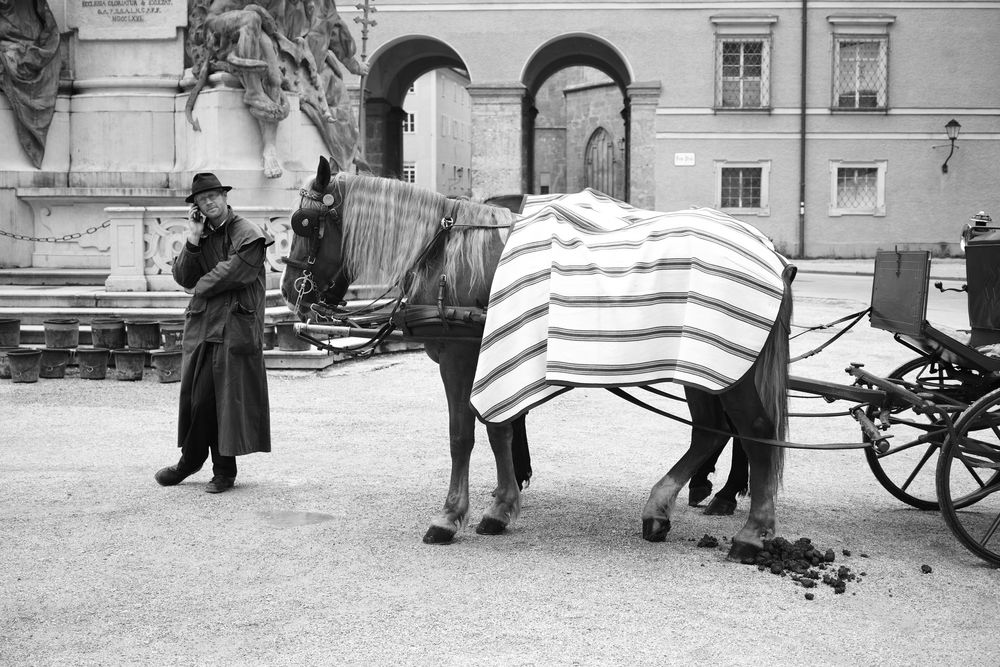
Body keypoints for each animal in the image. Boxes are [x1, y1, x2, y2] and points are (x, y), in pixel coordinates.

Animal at [282, 157, 796, 560]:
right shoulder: (489, 358)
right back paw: (664, 508)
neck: (448, 254)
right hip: (702, 369)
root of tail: (770, 253)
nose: (289, 290)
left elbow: (462, 436)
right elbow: (500, 431)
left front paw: (450, 516)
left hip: (729, 367)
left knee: (756, 432)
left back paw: (752, 531)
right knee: (712, 433)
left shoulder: (460, 357)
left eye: (301, 223)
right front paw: (500, 507)